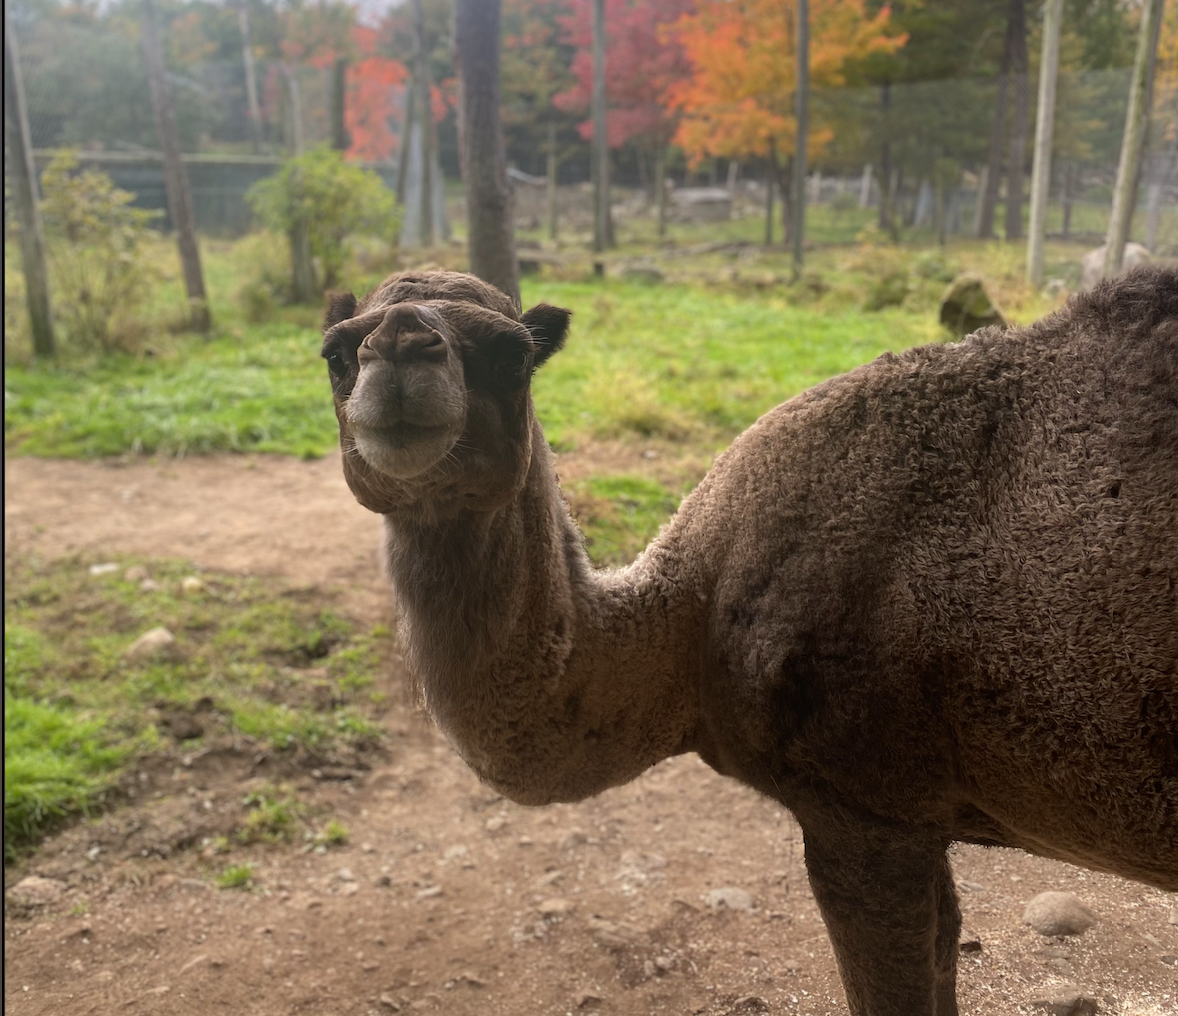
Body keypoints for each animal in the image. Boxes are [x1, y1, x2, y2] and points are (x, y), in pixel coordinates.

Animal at [321, 266, 1178, 1016]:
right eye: (333, 351)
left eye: (512, 354)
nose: (401, 343)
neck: (690, 626)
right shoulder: (920, 825)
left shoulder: (864, 810)